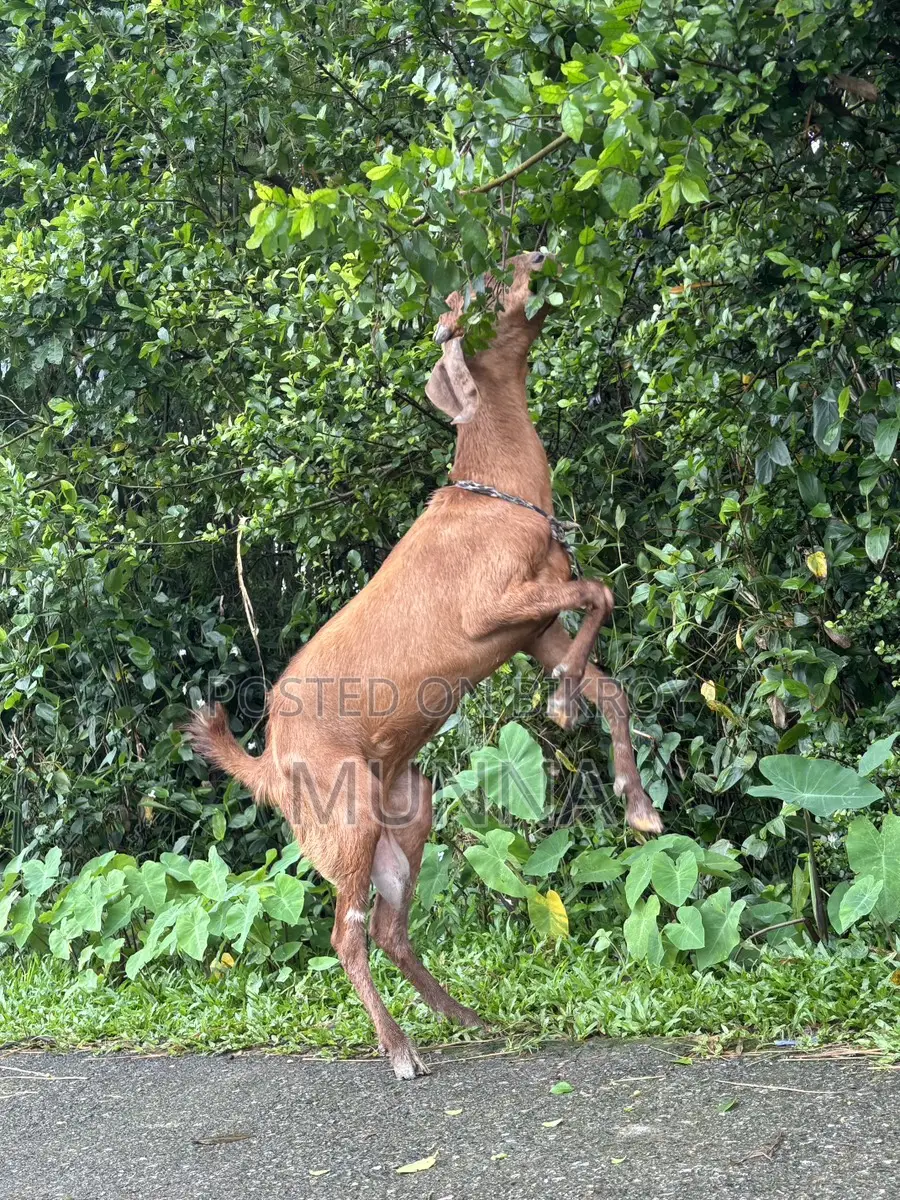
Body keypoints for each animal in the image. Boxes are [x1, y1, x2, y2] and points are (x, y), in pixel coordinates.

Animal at [187, 251, 662, 1080]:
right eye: (481, 291)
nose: (543, 256)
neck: (500, 492)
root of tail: (267, 762)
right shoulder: (491, 610)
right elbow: (600, 592)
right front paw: (562, 702)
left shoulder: (532, 627)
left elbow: (612, 679)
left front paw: (635, 801)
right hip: (343, 819)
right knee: (346, 934)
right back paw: (401, 1049)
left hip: (409, 811)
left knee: (390, 928)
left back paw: (464, 1018)